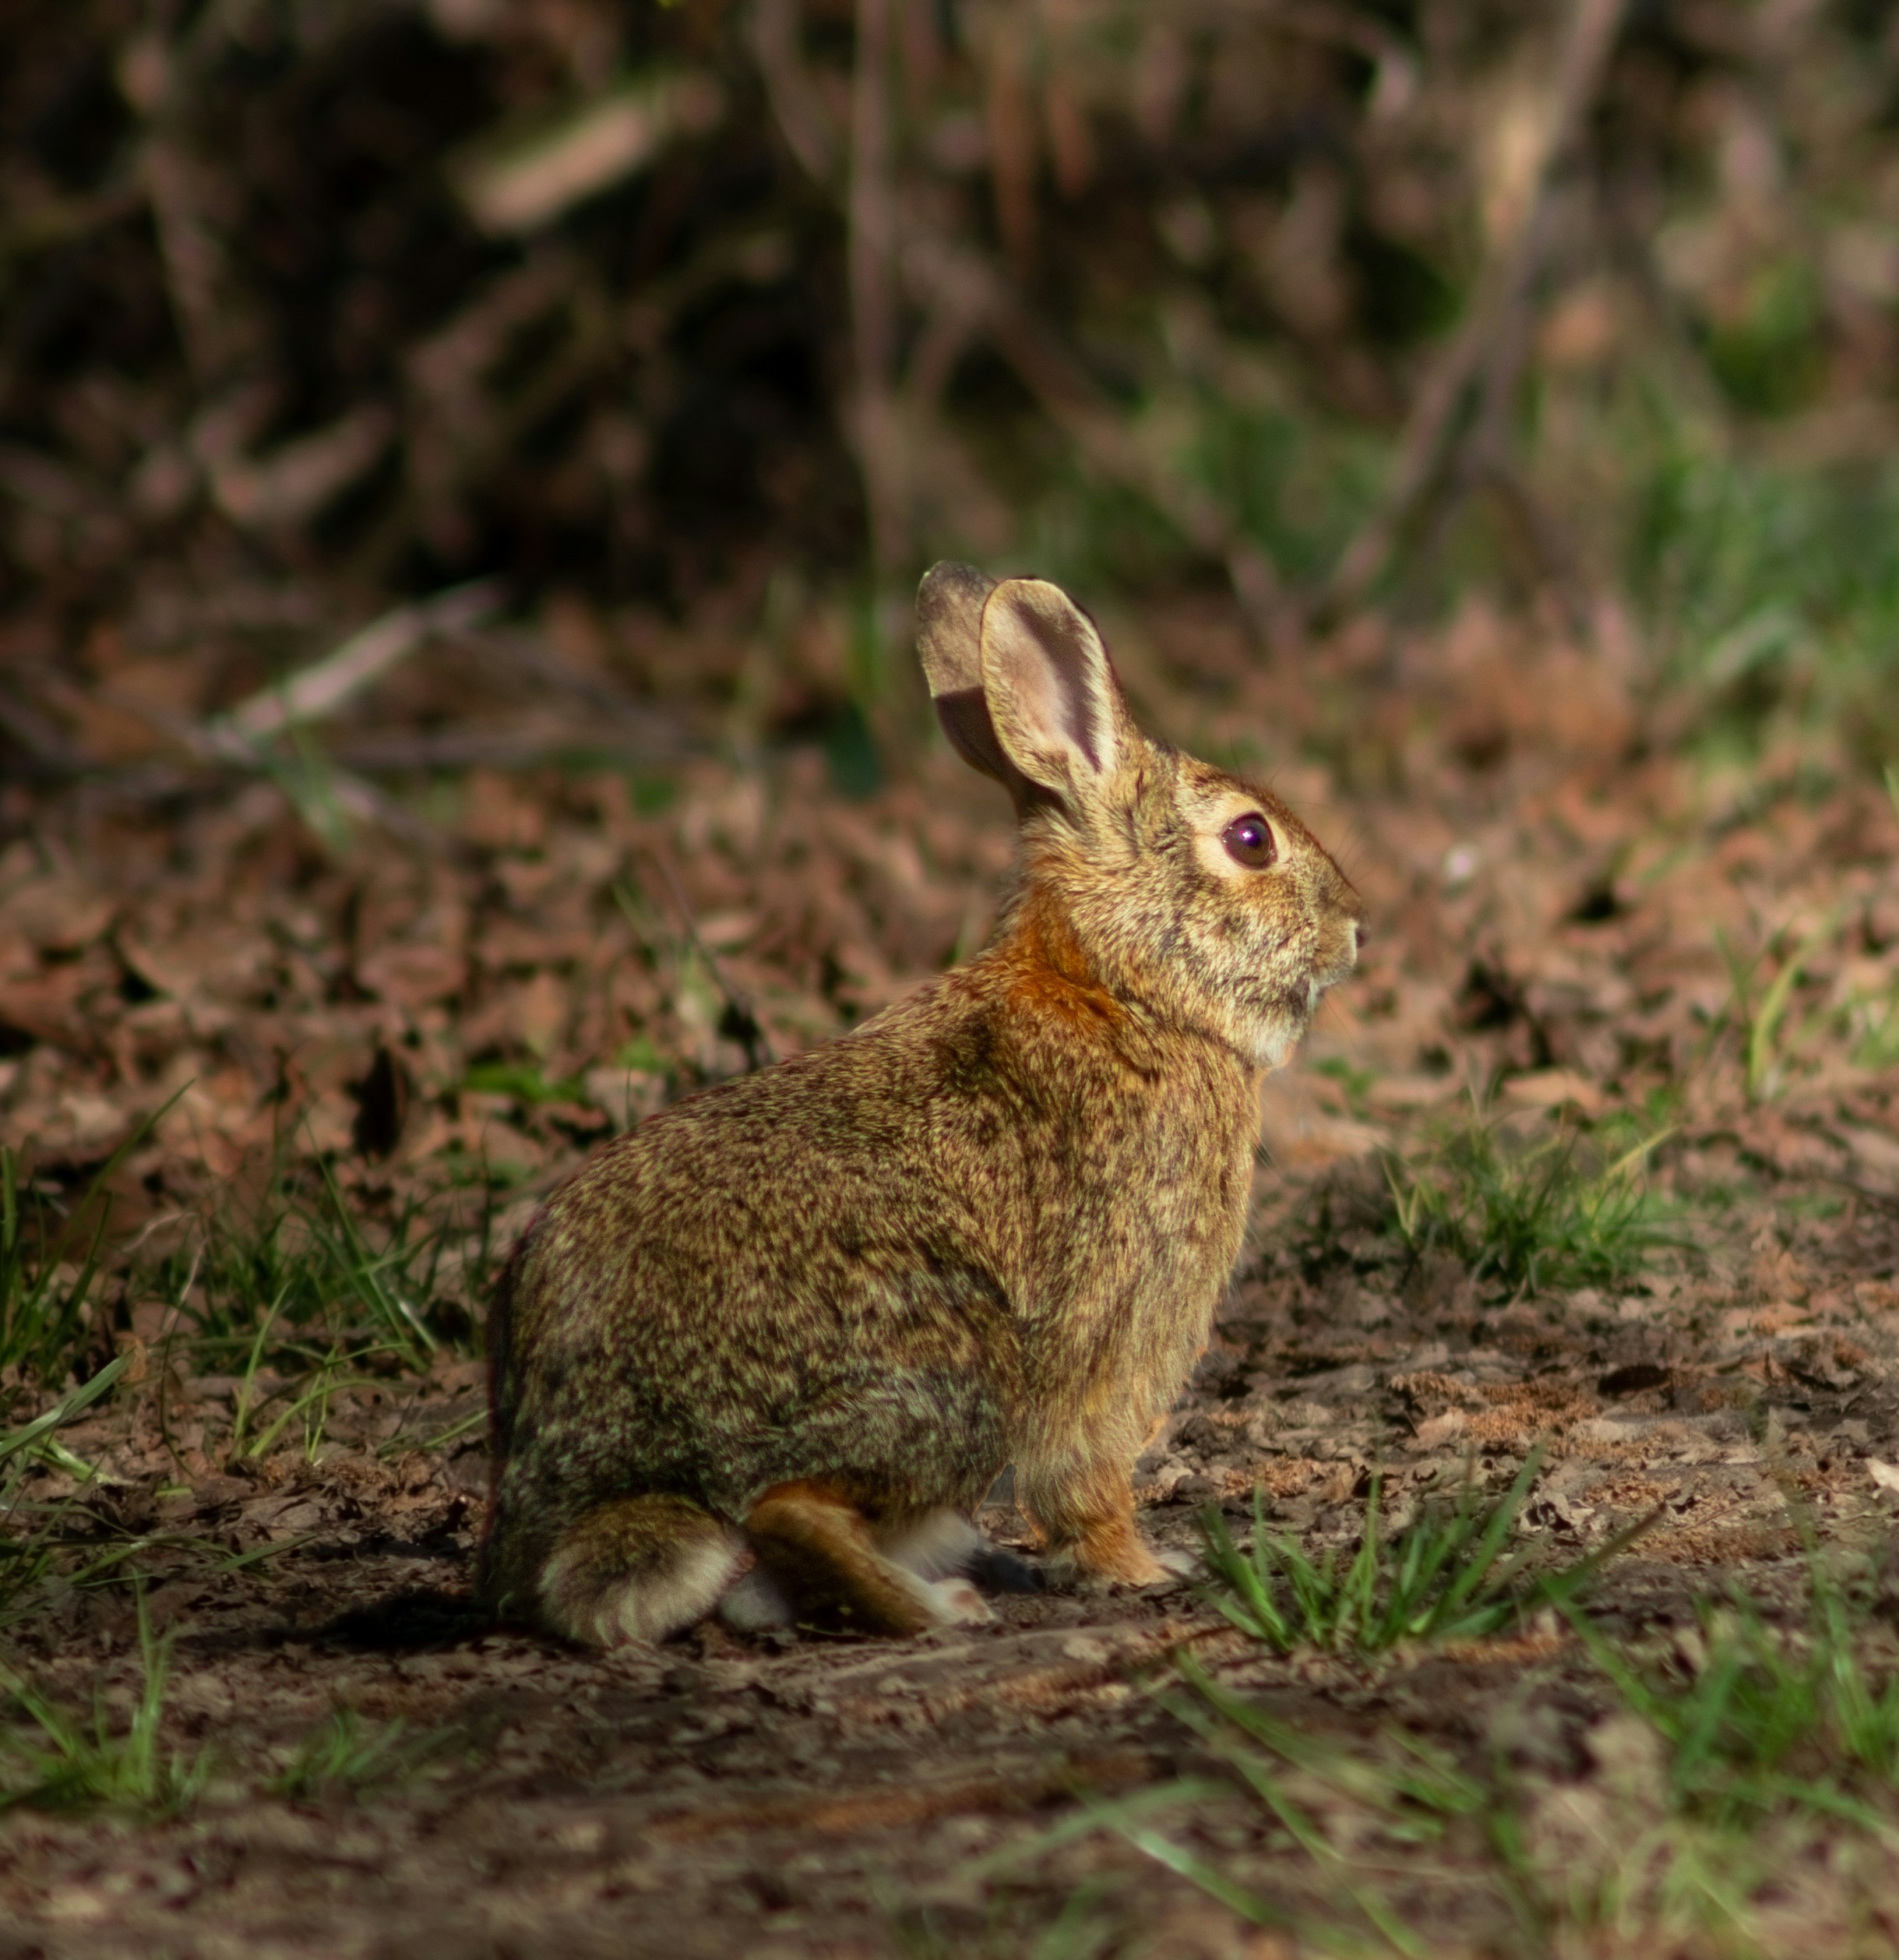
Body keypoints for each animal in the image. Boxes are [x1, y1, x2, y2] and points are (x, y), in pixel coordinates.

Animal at [479, 563, 1364, 1647]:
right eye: (1249, 838)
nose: (1354, 929)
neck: (1125, 988)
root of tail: (587, 1479)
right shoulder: (1115, 1314)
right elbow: (1085, 1471)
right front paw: (1143, 1568)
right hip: (957, 1365)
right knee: (790, 1507)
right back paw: (942, 1606)